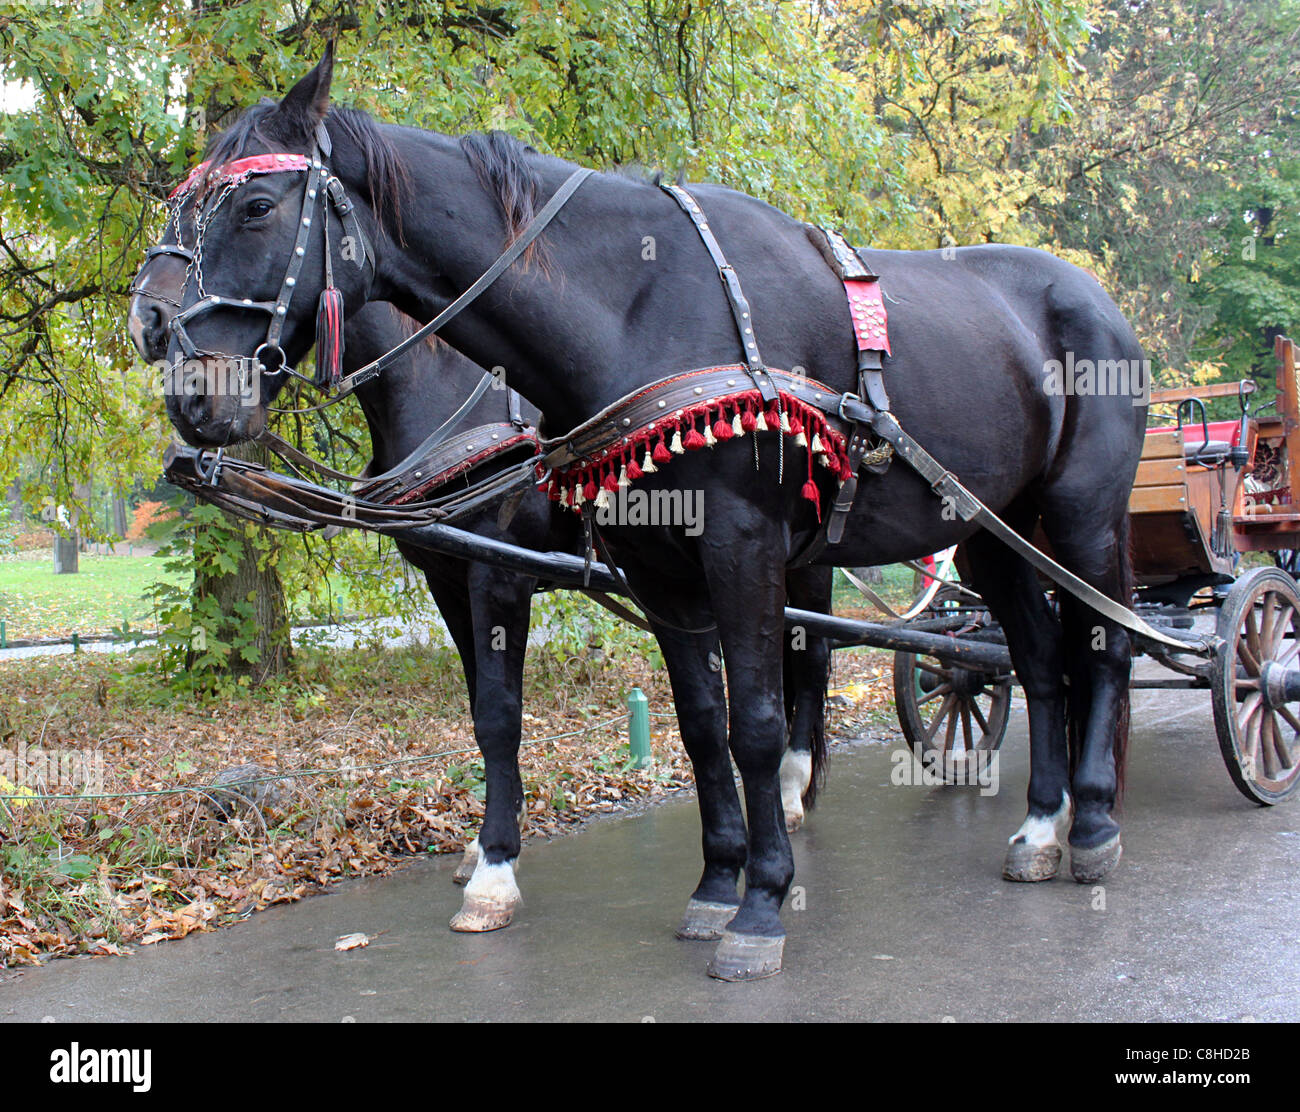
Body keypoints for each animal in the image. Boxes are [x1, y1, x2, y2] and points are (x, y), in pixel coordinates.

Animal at [131, 249, 832, 931]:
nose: (149, 325)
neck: (439, 394)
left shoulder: (500, 576)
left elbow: (499, 712)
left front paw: (495, 867)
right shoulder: (449, 579)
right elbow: (479, 708)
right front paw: (491, 834)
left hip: (801, 562)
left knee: (812, 660)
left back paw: (792, 784)